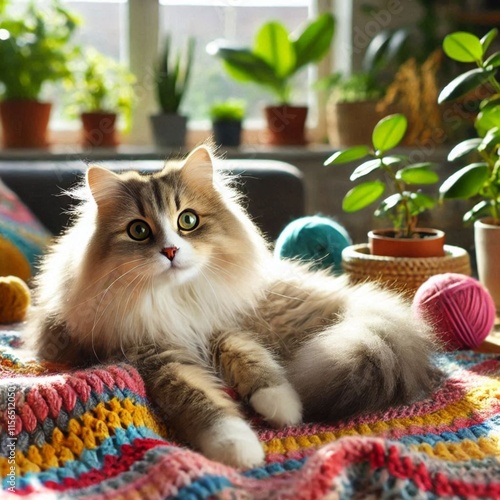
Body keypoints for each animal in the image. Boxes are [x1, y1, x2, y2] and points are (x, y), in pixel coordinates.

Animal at [28, 145, 442, 468]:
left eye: (188, 220)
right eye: (139, 231)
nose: (171, 251)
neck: (178, 299)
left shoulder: (223, 325)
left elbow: (254, 361)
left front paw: (282, 407)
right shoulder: (157, 354)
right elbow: (203, 403)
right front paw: (239, 449)